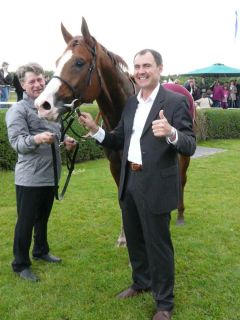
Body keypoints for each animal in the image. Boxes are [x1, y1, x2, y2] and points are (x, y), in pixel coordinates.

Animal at [35, 16, 193, 245]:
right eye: (57, 62)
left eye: (79, 62)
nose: (42, 105)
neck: (121, 112)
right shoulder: (116, 165)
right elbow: (122, 197)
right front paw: (124, 236)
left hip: (184, 155)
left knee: (181, 178)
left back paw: (179, 213)